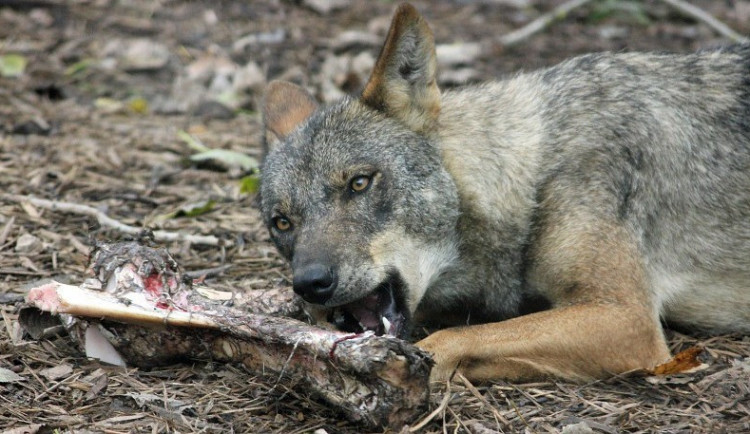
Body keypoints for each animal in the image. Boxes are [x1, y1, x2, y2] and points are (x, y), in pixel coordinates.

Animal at [260, 3, 750, 384]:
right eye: (282, 223)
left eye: (359, 183)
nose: (310, 284)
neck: (533, 175)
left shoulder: (626, 318)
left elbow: (452, 340)